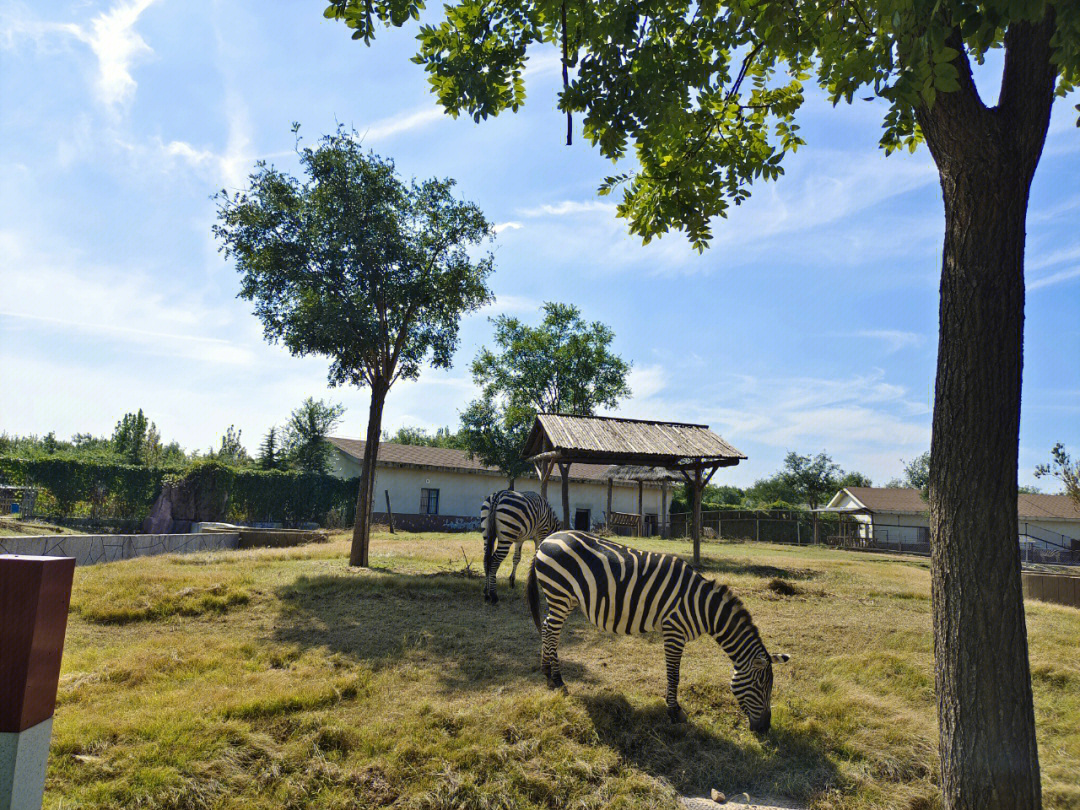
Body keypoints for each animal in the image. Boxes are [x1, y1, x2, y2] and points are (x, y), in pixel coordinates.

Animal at [527, 533, 790, 734]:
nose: (765, 729)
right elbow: (674, 674)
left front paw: (671, 705)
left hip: (564, 598)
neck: (702, 607)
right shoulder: (674, 631)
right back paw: (557, 679)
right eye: (761, 687)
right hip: (559, 593)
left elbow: (673, 674)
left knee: (549, 628)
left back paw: (547, 671)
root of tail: (548, 538)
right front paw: (674, 711)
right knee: (551, 631)